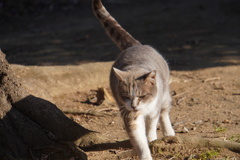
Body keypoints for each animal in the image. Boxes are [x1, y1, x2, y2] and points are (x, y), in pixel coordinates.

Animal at [93, 0, 175, 159]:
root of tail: (135, 46)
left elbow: (151, 127)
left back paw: (169, 133)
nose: (134, 106)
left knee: (164, 112)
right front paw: (146, 153)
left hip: (164, 94)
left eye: (142, 96)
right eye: (126, 96)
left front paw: (152, 139)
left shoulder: (153, 110)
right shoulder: (130, 115)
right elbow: (139, 140)